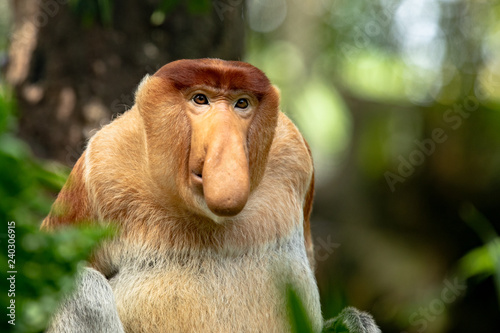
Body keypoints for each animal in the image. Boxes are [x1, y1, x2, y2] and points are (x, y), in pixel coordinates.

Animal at [42, 59, 378, 332]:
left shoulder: (294, 149)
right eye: (200, 99)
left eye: (242, 103)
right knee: (83, 289)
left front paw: (351, 322)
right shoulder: (102, 163)